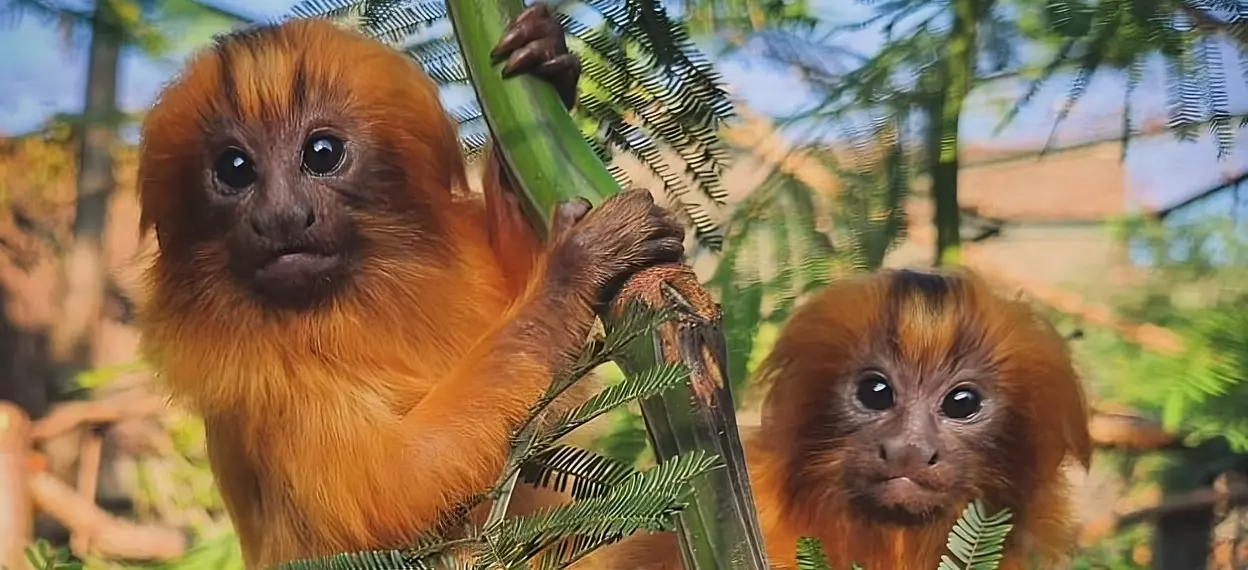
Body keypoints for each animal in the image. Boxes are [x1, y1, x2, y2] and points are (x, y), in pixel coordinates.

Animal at [136, 5, 688, 568]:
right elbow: (402, 485)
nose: (282, 215)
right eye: (235, 169)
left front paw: (546, 63)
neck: (345, 305)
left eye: (322, 153)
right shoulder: (267, 393)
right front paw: (572, 267)